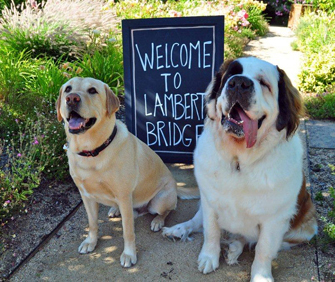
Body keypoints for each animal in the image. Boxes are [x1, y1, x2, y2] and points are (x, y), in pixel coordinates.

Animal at [56, 77, 180, 266]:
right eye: (68, 89)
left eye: (92, 90)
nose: (71, 99)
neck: (91, 151)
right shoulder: (86, 196)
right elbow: (92, 223)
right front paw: (91, 242)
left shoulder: (123, 196)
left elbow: (127, 231)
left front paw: (129, 254)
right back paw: (115, 210)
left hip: (159, 201)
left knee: (168, 210)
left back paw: (158, 221)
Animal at [164, 56, 318, 280]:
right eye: (231, 75)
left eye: (264, 83)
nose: (239, 83)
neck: (239, 160)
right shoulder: (209, 200)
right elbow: (211, 231)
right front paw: (209, 257)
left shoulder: (275, 218)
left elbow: (263, 248)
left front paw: (261, 276)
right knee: (197, 221)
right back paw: (178, 229)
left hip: (307, 227)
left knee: (250, 239)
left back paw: (235, 248)